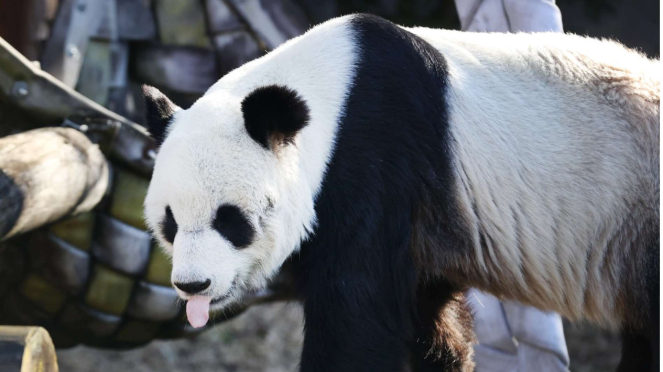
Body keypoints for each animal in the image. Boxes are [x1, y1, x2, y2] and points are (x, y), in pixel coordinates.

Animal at [141, 13, 660, 372]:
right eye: (170, 222)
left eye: (230, 219)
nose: (193, 285)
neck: (332, 93)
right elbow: (426, 319)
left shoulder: (375, 162)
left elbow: (357, 319)